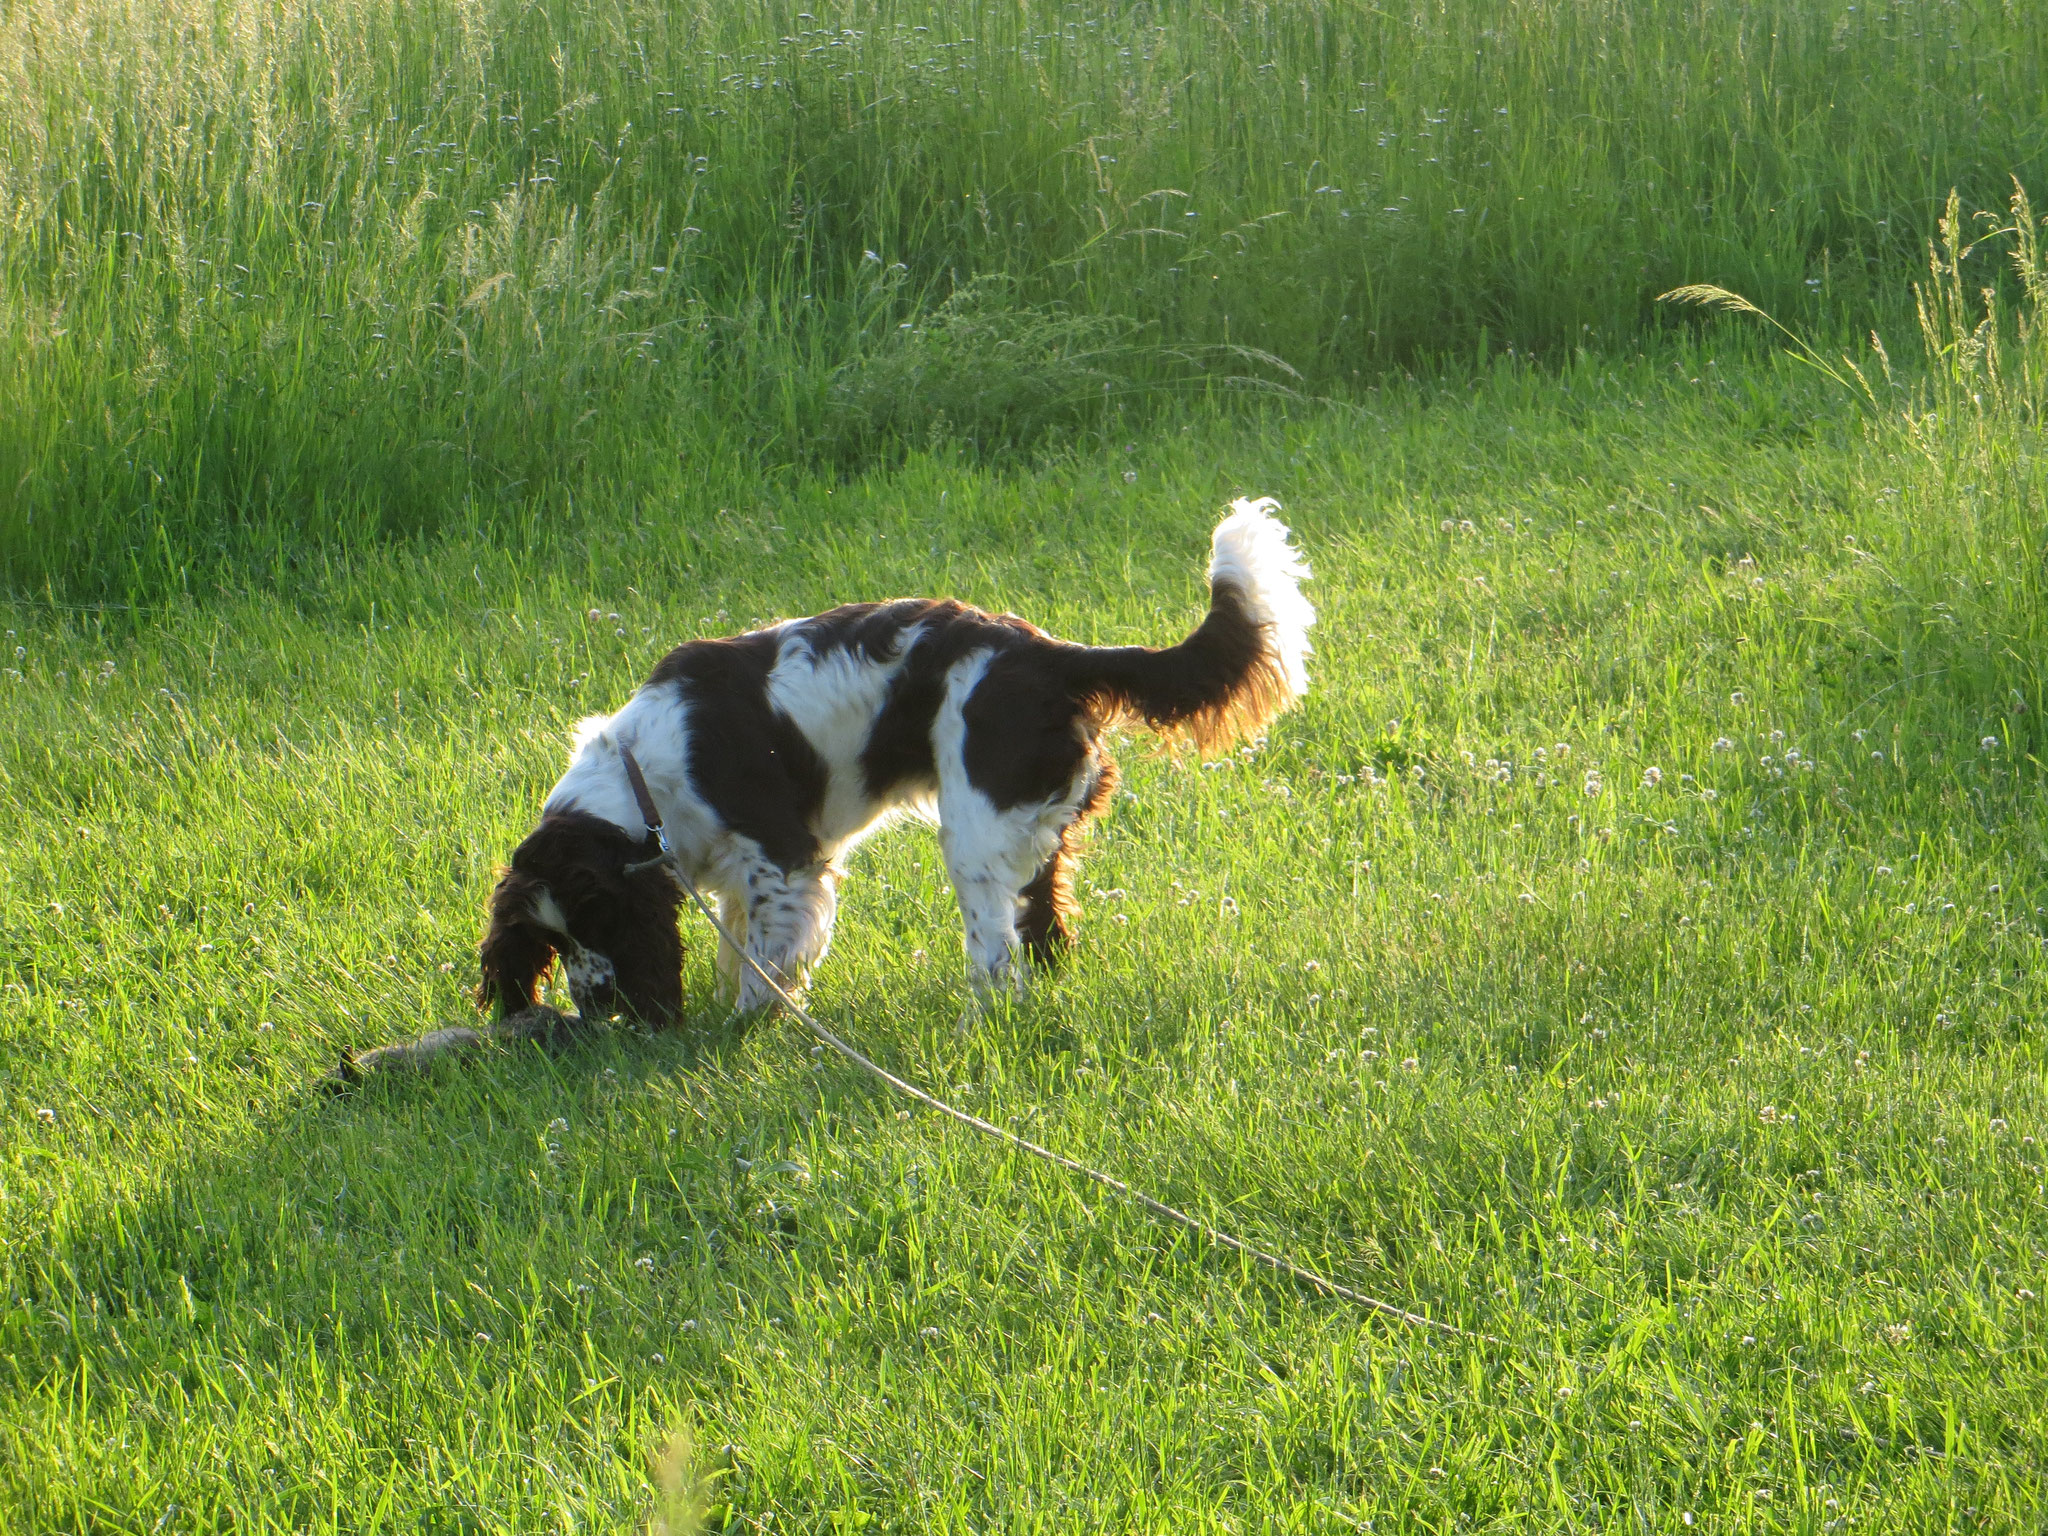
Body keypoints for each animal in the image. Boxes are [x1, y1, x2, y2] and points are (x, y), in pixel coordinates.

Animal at [475, 505, 1310, 1028]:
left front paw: (743, 1026)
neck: (645, 773)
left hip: (974, 828)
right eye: (555, 945)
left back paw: (979, 1027)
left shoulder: (783, 859)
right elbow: (735, 941)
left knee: (996, 954)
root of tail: (1050, 654)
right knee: (1043, 924)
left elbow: (766, 960)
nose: (596, 1002)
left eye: (600, 923)